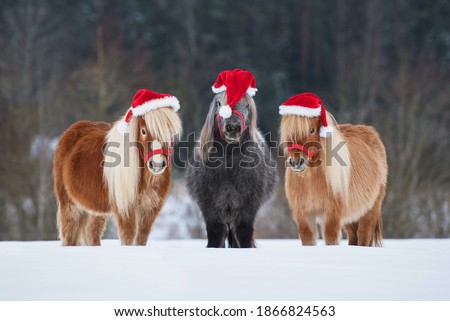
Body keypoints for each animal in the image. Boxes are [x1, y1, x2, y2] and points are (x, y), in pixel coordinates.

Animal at [52, 90, 179, 245]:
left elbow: (141, 239)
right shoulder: (125, 210)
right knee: (69, 237)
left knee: (91, 234)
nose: (157, 164)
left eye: (170, 132)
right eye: (143, 131)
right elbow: (128, 238)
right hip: (69, 205)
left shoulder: (149, 211)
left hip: (96, 211)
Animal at [184, 92, 276, 248]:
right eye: (219, 103)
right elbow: (215, 235)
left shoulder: (247, 207)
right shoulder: (210, 208)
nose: (233, 127)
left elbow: (244, 234)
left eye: (247, 105)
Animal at [278, 92, 386, 245]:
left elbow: (331, 238)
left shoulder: (332, 215)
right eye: (288, 132)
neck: (311, 179)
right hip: (351, 217)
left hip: (370, 210)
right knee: (353, 236)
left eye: (312, 129)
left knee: (364, 235)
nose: (296, 162)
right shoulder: (303, 216)